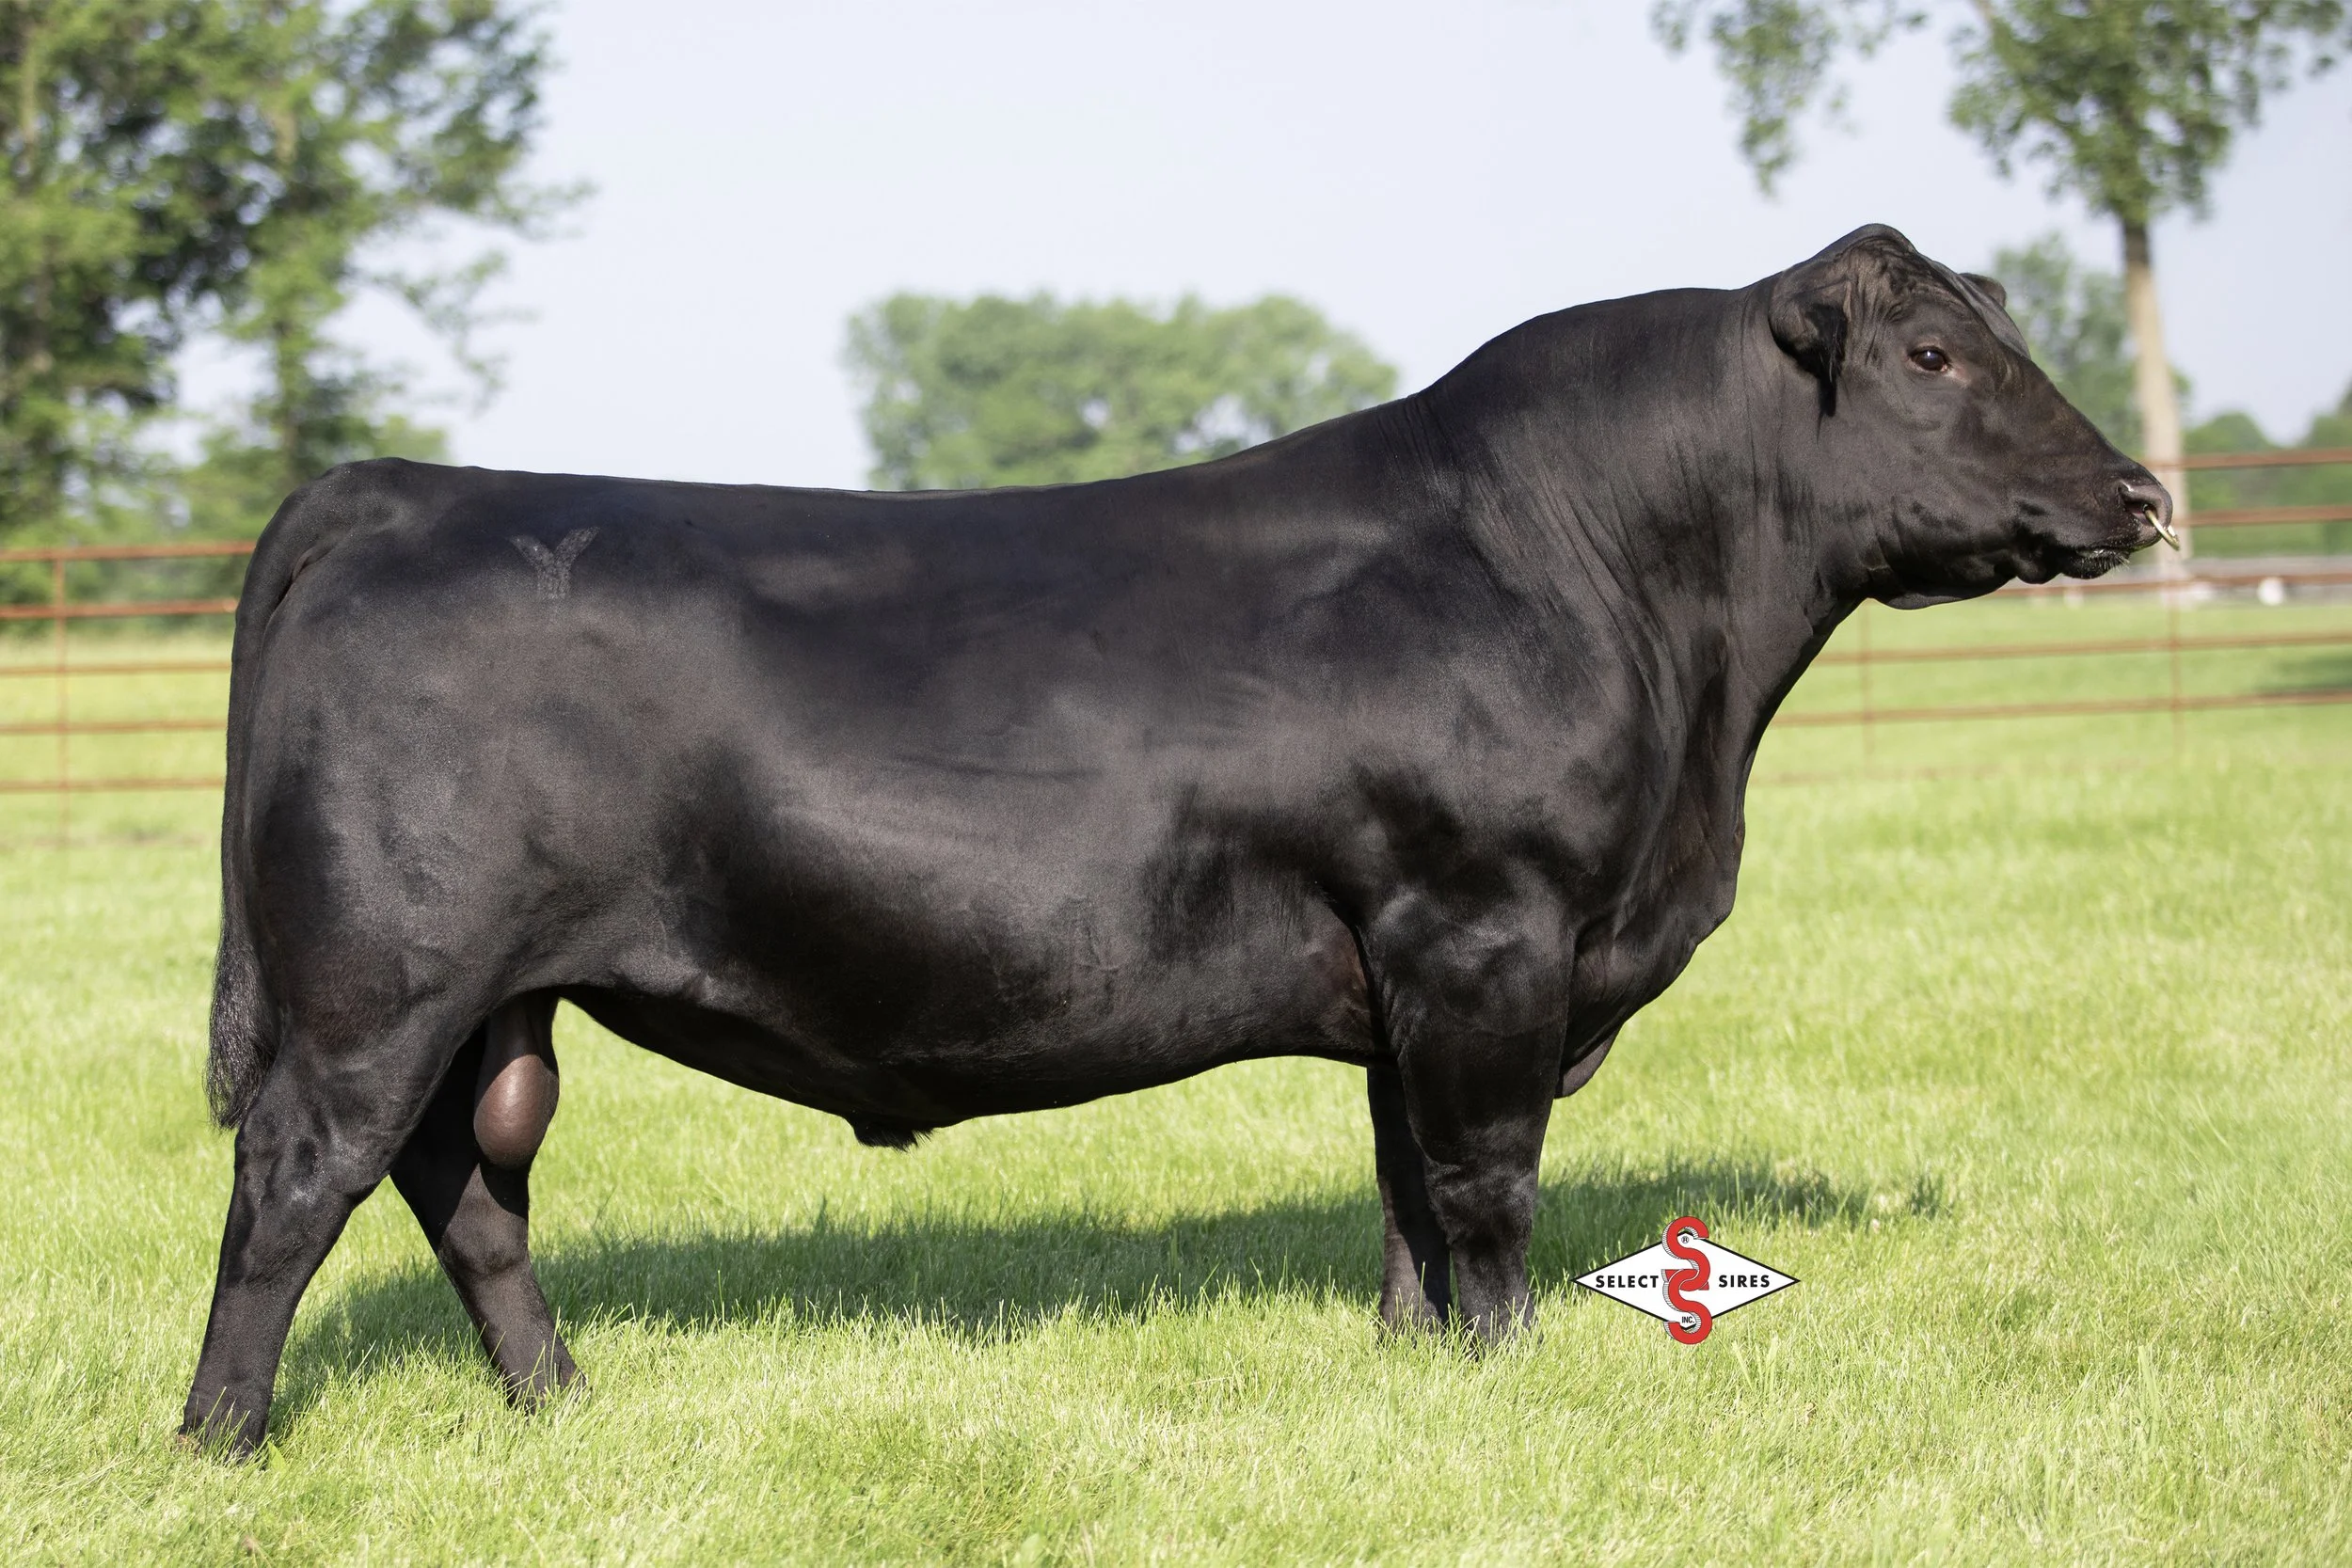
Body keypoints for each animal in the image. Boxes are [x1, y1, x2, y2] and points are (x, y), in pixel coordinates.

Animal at [181, 225, 2170, 1452]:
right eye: (1933, 352)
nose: (2141, 493)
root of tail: (398, 488)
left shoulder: (1405, 970)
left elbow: (1403, 1189)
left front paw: (1419, 1372)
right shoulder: (1486, 931)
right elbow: (1488, 1183)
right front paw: (1516, 1371)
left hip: (479, 1002)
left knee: (467, 1189)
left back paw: (561, 1402)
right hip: (376, 983)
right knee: (296, 1182)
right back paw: (220, 1446)